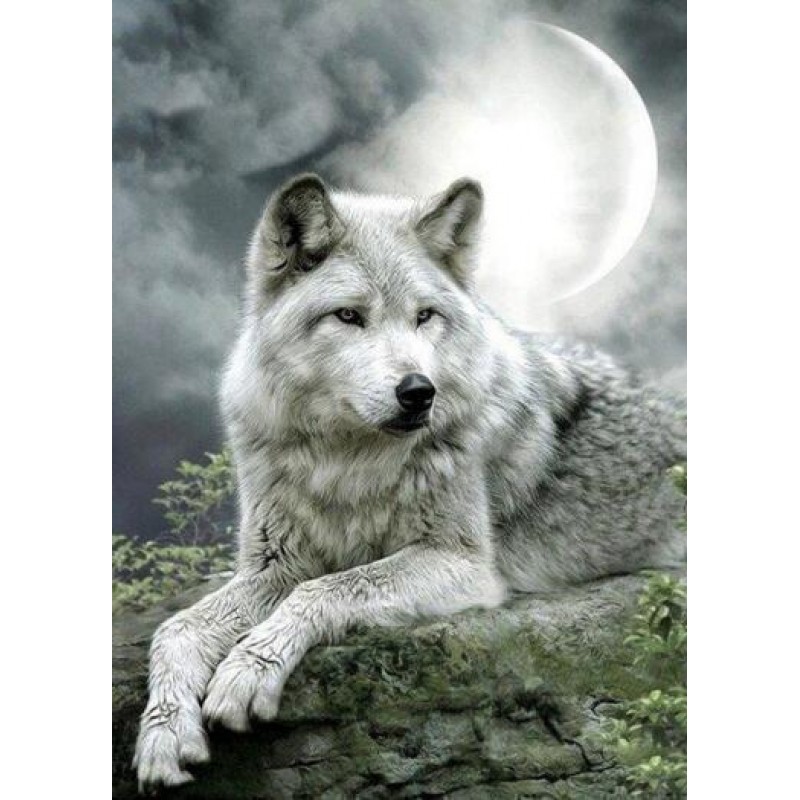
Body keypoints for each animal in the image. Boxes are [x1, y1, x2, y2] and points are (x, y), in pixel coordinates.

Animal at [133, 174, 686, 791]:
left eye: (424, 316)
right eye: (349, 316)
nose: (420, 391)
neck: (347, 462)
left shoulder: (462, 564)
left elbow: (327, 589)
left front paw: (245, 672)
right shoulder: (275, 566)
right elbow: (176, 628)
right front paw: (163, 734)